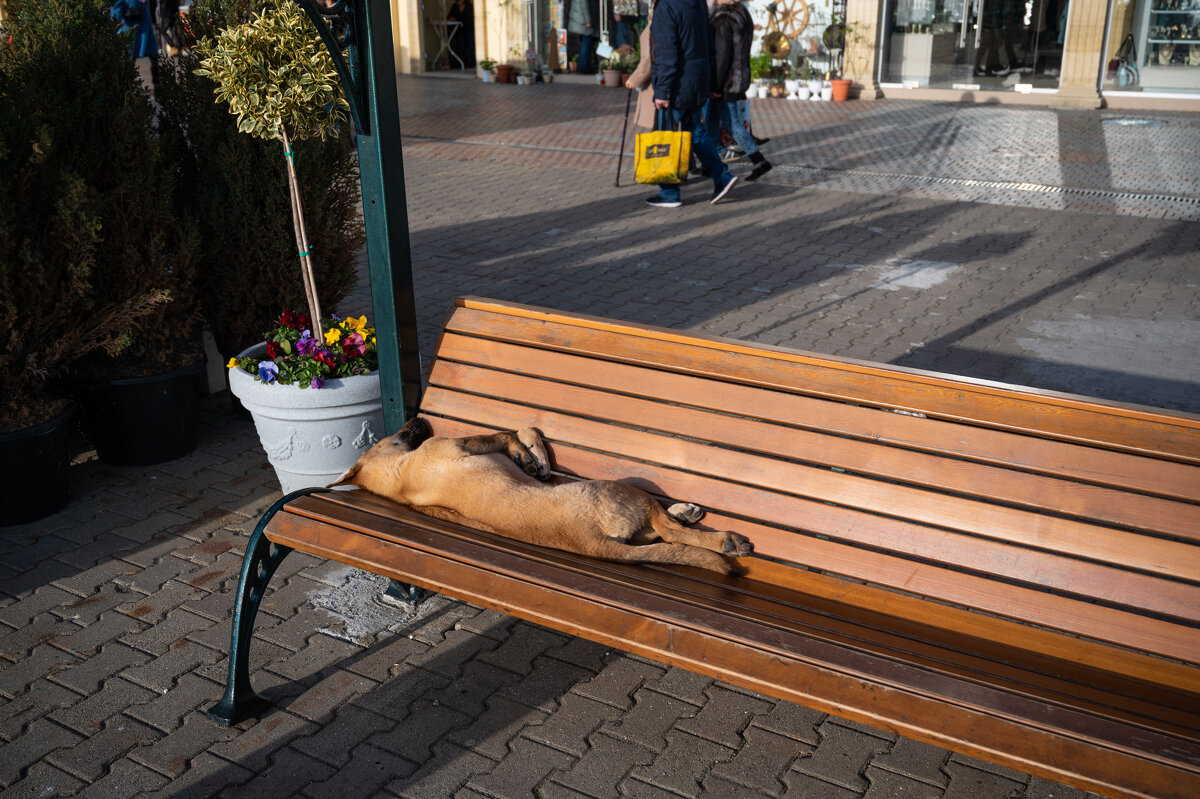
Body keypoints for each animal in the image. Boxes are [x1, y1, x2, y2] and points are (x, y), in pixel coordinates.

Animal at [331, 417, 748, 573]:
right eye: (396, 433)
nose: (418, 418)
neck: (399, 479)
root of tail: (594, 544)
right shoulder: (461, 443)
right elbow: (511, 431)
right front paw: (526, 453)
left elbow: (524, 437)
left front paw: (536, 462)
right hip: (624, 487)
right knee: (669, 528)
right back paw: (725, 540)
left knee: (665, 531)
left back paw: (687, 511)